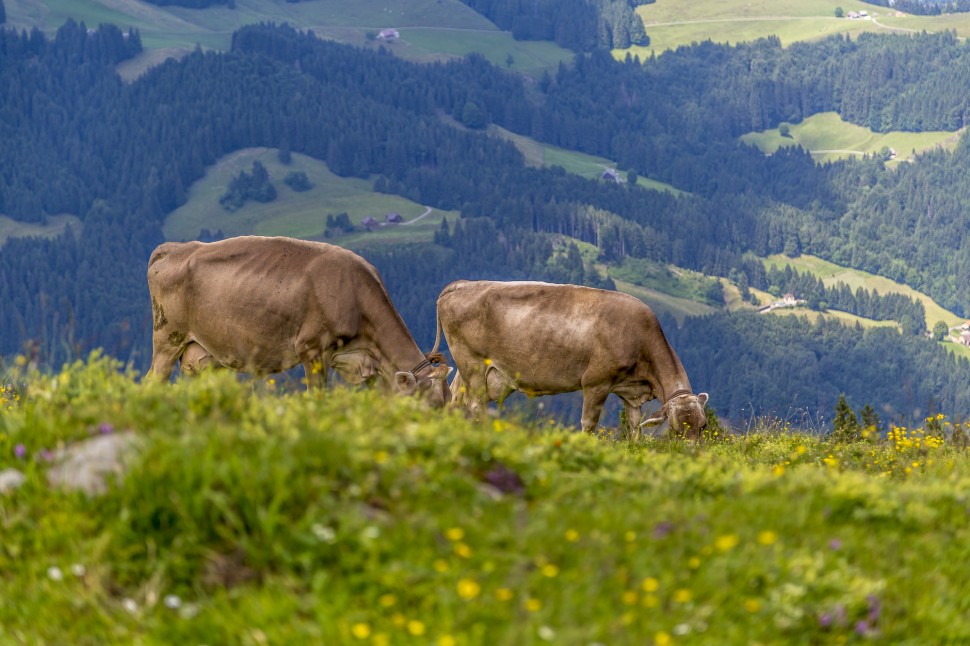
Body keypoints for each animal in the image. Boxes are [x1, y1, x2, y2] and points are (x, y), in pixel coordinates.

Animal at [146, 236, 450, 406]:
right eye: (433, 404)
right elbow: (317, 397)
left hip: (205, 356)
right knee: (152, 382)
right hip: (167, 339)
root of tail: (173, 248)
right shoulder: (312, 349)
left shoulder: (370, 367)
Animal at [434, 280, 708, 438]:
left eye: (703, 426)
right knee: (475, 405)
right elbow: (588, 424)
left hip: (472, 369)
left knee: (456, 399)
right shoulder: (596, 383)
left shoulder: (630, 392)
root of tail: (461, 284)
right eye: (675, 430)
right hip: (472, 362)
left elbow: (634, 426)